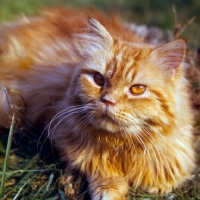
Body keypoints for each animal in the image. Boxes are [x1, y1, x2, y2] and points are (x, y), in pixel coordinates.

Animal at [0, 6, 195, 200]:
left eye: (137, 89)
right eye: (99, 79)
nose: (108, 100)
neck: (121, 146)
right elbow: (97, 166)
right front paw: (109, 187)